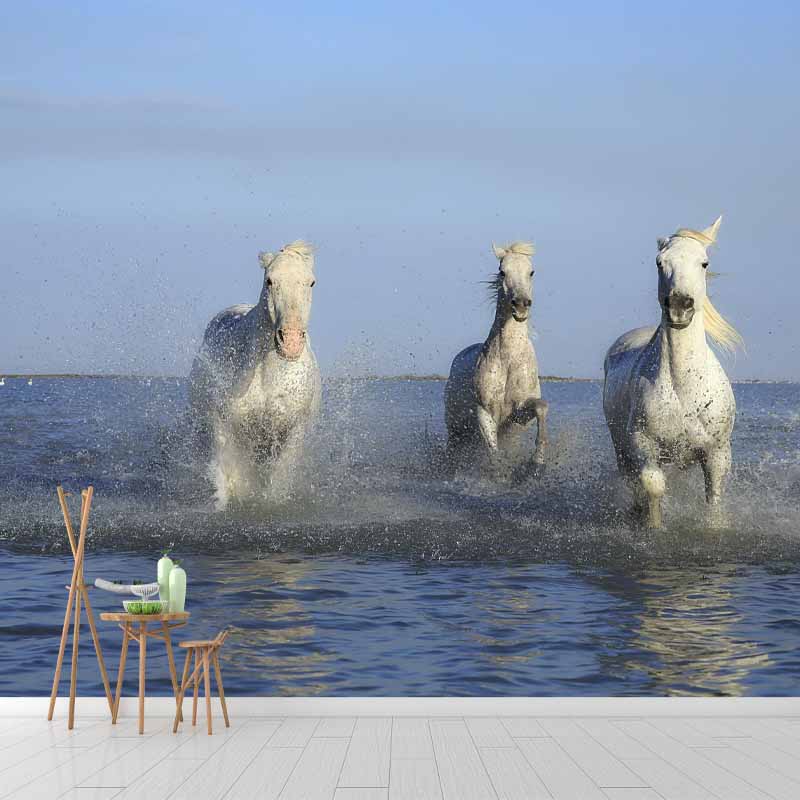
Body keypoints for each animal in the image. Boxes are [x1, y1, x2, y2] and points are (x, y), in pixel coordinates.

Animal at [189, 241, 321, 508]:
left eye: (311, 282)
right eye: (269, 280)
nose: (290, 342)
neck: (267, 373)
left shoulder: (293, 430)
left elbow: (278, 478)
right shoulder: (225, 424)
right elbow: (229, 476)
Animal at [444, 241, 548, 475]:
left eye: (531, 272)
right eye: (502, 271)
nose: (521, 304)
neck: (509, 360)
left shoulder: (517, 415)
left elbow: (541, 407)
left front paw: (537, 462)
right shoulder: (484, 412)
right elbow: (494, 453)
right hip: (455, 429)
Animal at [603, 216, 743, 528]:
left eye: (704, 263)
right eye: (659, 262)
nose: (680, 305)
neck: (684, 387)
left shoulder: (717, 453)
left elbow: (713, 498)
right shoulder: (643, 444)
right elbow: (652, 486)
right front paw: (654, 526)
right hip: (621, 450)